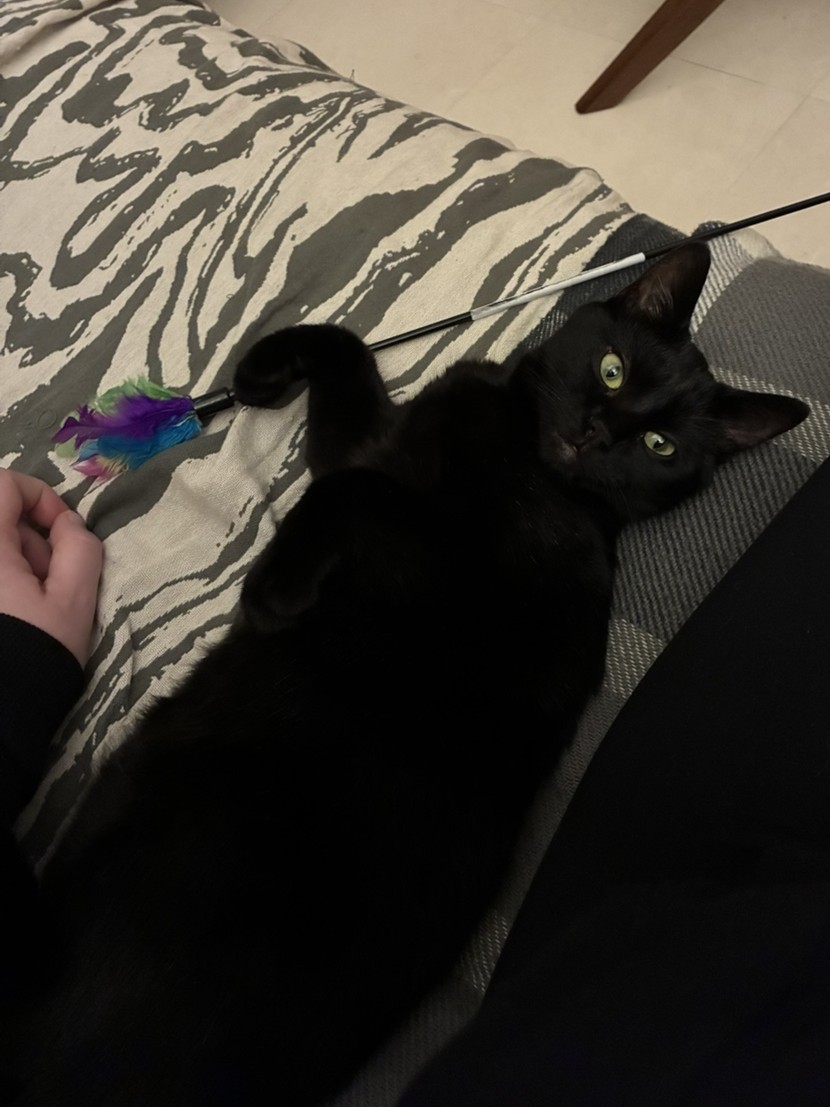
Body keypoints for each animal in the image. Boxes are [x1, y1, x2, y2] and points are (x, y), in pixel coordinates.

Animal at [3, 242, 807, 1106]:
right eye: (614, 369)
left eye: (660, 445)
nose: (597, 432)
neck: (521, 447)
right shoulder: (374, 439)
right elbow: (349, 352)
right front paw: (261, 369)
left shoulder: (433, 565)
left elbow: (357, 493)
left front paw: (274, 591)